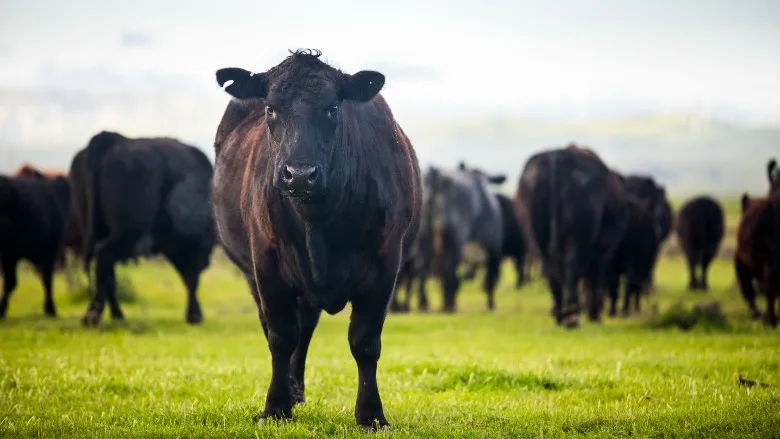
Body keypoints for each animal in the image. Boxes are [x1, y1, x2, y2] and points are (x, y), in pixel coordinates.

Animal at [74, 131, 215, 327]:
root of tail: (113, 139)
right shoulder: (191, 248)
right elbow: (191, 278)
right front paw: (194, 315)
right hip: (128, 233)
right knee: (104, 256)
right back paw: (93, 315)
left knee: (107, 270)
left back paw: (117, 314)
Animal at [211, 49, 422, 430]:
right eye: (271, 108)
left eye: (332, 108)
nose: (299, 174)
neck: (318, 224)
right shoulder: (266, 265)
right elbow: (281, 336)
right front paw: (275, 407)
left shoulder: (386, 265)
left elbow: (365, 342)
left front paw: (371, 414)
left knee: (306, 326)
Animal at [424, 164, 506, 312]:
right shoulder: (493, 248)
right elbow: (490, 279)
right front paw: (491, 304)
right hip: (455, 241)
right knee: (450, 272)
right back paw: (450, 306)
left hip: (433, 243)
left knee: (439, 272)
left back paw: (444, 304)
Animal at [516, 143, 630, 327]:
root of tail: (560, 155)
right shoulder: (602, 252)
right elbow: (593, 280)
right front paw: (594, 314)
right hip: (578, 238)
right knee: (572, 265)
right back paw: (572, 316)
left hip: (537, 236)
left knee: (551, 269)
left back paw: (560, 314)